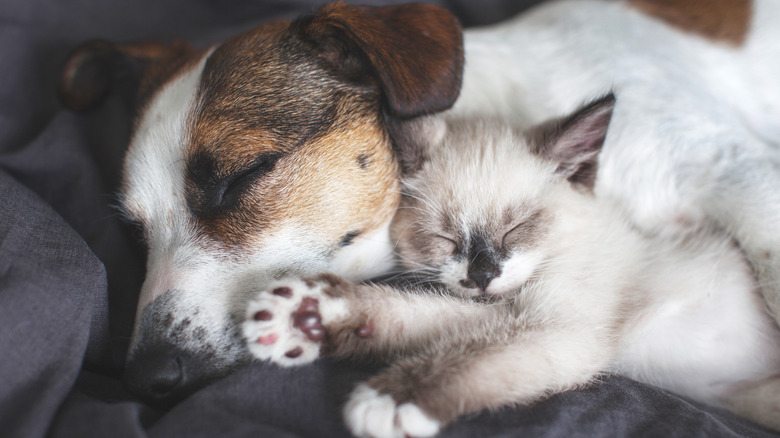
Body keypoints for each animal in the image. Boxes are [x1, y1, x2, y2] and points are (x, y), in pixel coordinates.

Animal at [241, 96, 780, 438]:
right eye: (444, 238)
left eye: (515, 230)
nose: (481, 276)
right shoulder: (507, 314)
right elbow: (415, 317)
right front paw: (306, 315)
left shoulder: (560, 331)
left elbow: (472, 358)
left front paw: (392, 401)